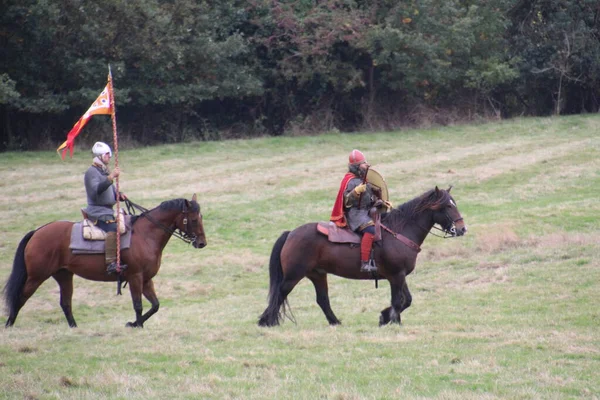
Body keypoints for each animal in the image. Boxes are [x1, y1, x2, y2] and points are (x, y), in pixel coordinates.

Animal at [4, 194, 206, 328]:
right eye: (194, 220)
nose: (202, 243)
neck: (145, 235)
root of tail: (37, 232)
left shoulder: (146, 279)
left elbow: (155, 305)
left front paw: (134, 323)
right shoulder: (135, 277)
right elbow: (138, 304)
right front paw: (137, 325)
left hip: (63, 275)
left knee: (65, 303)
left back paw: (74, 327)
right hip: (36, 277)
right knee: (20, 297)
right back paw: (9, 325)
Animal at [258, 186, 468, 326]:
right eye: (446, 206)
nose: (461, 229)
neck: (400, 230)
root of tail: (291, 233)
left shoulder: (400, 276)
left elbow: (406, 300)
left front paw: (387, 317)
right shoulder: (395, 276)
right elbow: (397, 301)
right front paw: (391, 321)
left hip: (318, 274)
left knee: (322, 299)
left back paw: (335, 322)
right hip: (293, 275)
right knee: (280, 293)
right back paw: (266, 321)